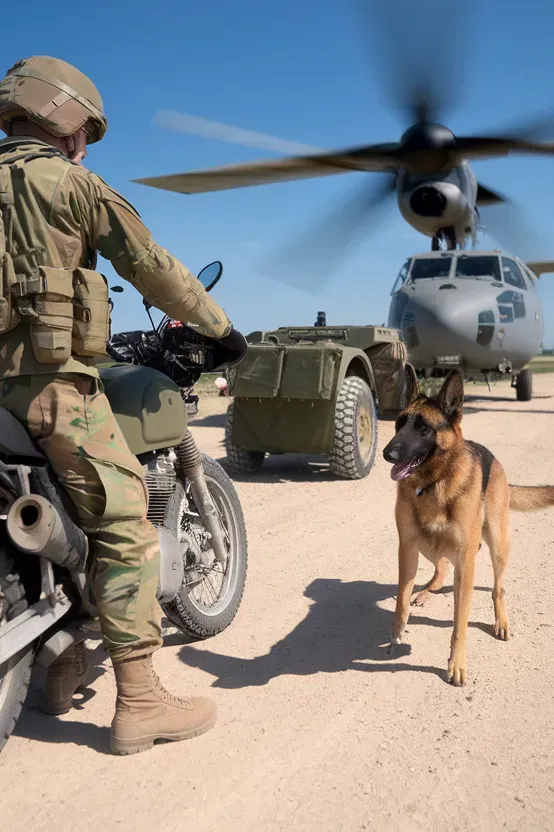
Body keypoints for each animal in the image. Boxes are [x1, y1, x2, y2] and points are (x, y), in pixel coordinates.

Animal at [382, 368, 552, 684]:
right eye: (399, 424)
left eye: (423, 429)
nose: (388, 454)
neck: (434, 484)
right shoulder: (407, 548)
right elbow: (401, 598)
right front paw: (397, 631)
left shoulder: (465, 560)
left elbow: (460, 623)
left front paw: (456, 664)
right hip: (428, 546)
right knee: (440, 570)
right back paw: (426, 591)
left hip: (497, 544)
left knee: (498, 588)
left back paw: (501, 621)